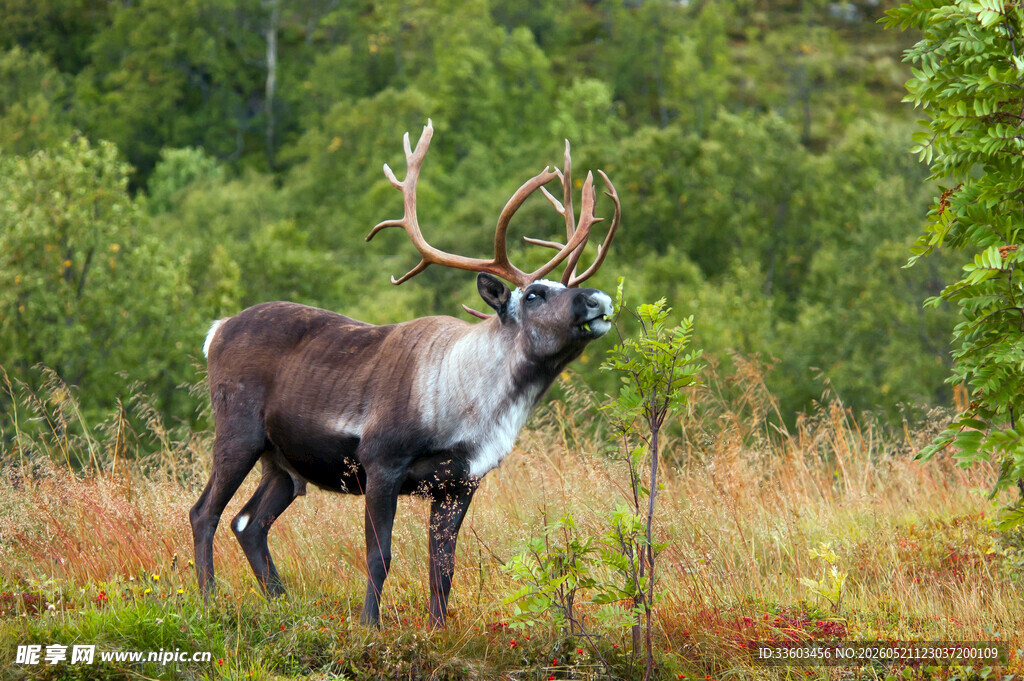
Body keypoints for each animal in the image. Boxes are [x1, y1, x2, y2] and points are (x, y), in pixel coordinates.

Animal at [191, 120, 620, 628]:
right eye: (534, 294)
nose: (598, 299)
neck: (471, 408)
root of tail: (216, 330)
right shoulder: (381, 462)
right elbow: (380, 555)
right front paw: (369, 625)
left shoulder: (460, 482)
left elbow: (443, 566)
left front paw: (438, 630)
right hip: (238, 430)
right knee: (204, 512)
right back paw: (208, 600)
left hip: (284, 463)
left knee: (248, 522)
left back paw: (282, 603)